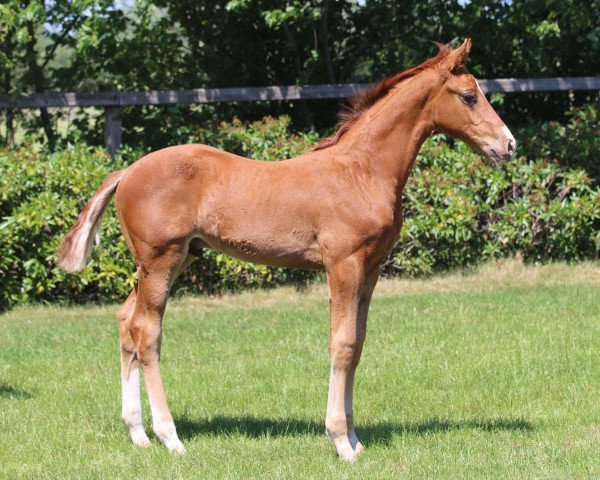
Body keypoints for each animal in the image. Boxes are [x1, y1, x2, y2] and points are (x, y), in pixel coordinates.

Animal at [57, 40, 516, 462]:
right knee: (146, 331)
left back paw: (137, 433)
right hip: (161, 258)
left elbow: (358, 344)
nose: (508, 145)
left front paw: (355, 438)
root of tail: (128, 170)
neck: (362, 171)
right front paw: (340, 442)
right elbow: (342, 343)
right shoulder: (343, 265)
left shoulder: (370, 268)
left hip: (175, 258)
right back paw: (170, 438)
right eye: (469, 96)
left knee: (125, 321)